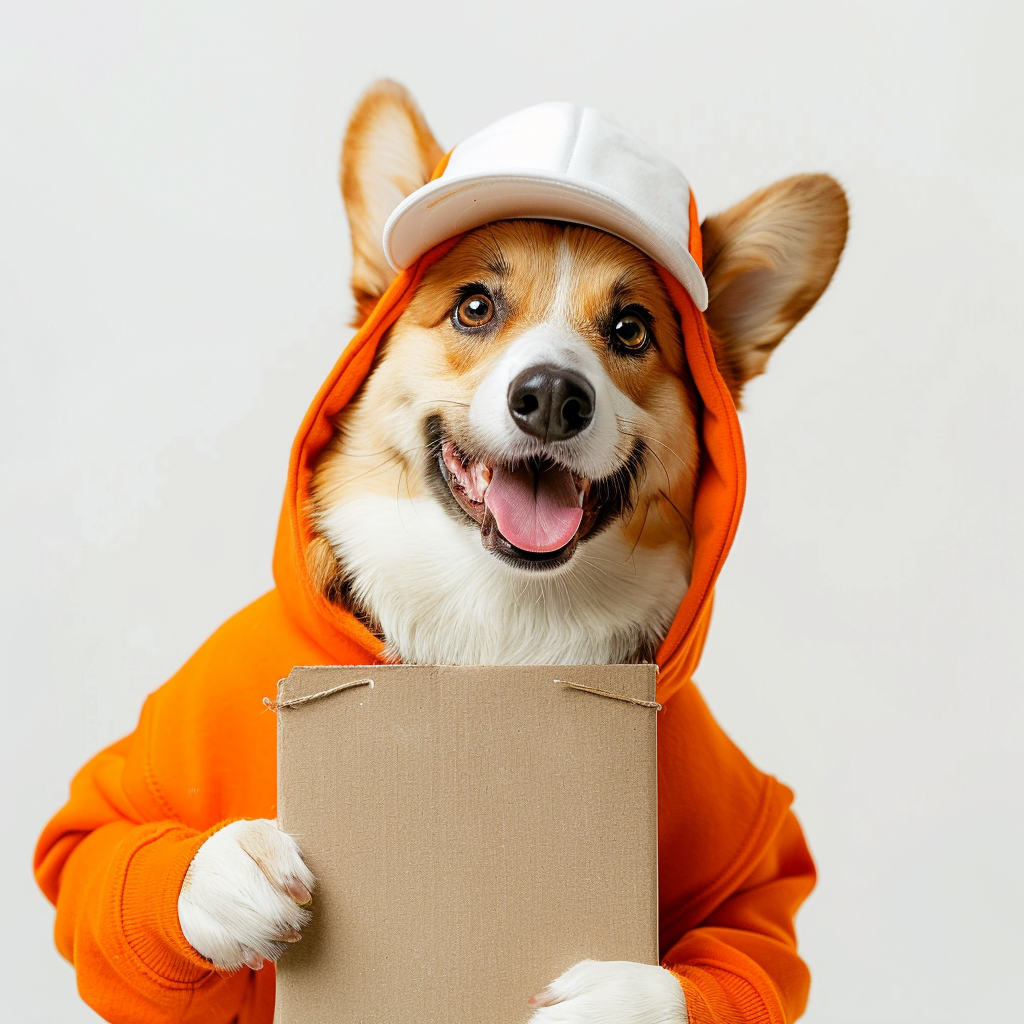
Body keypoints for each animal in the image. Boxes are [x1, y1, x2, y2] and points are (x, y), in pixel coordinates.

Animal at [178, 81, 847, 1024]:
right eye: (474, 307)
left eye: (631, 329)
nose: (553, 397)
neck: (496, 617)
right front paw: (232, 877)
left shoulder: (752, 863)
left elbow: (752, 940)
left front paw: (625, 998)